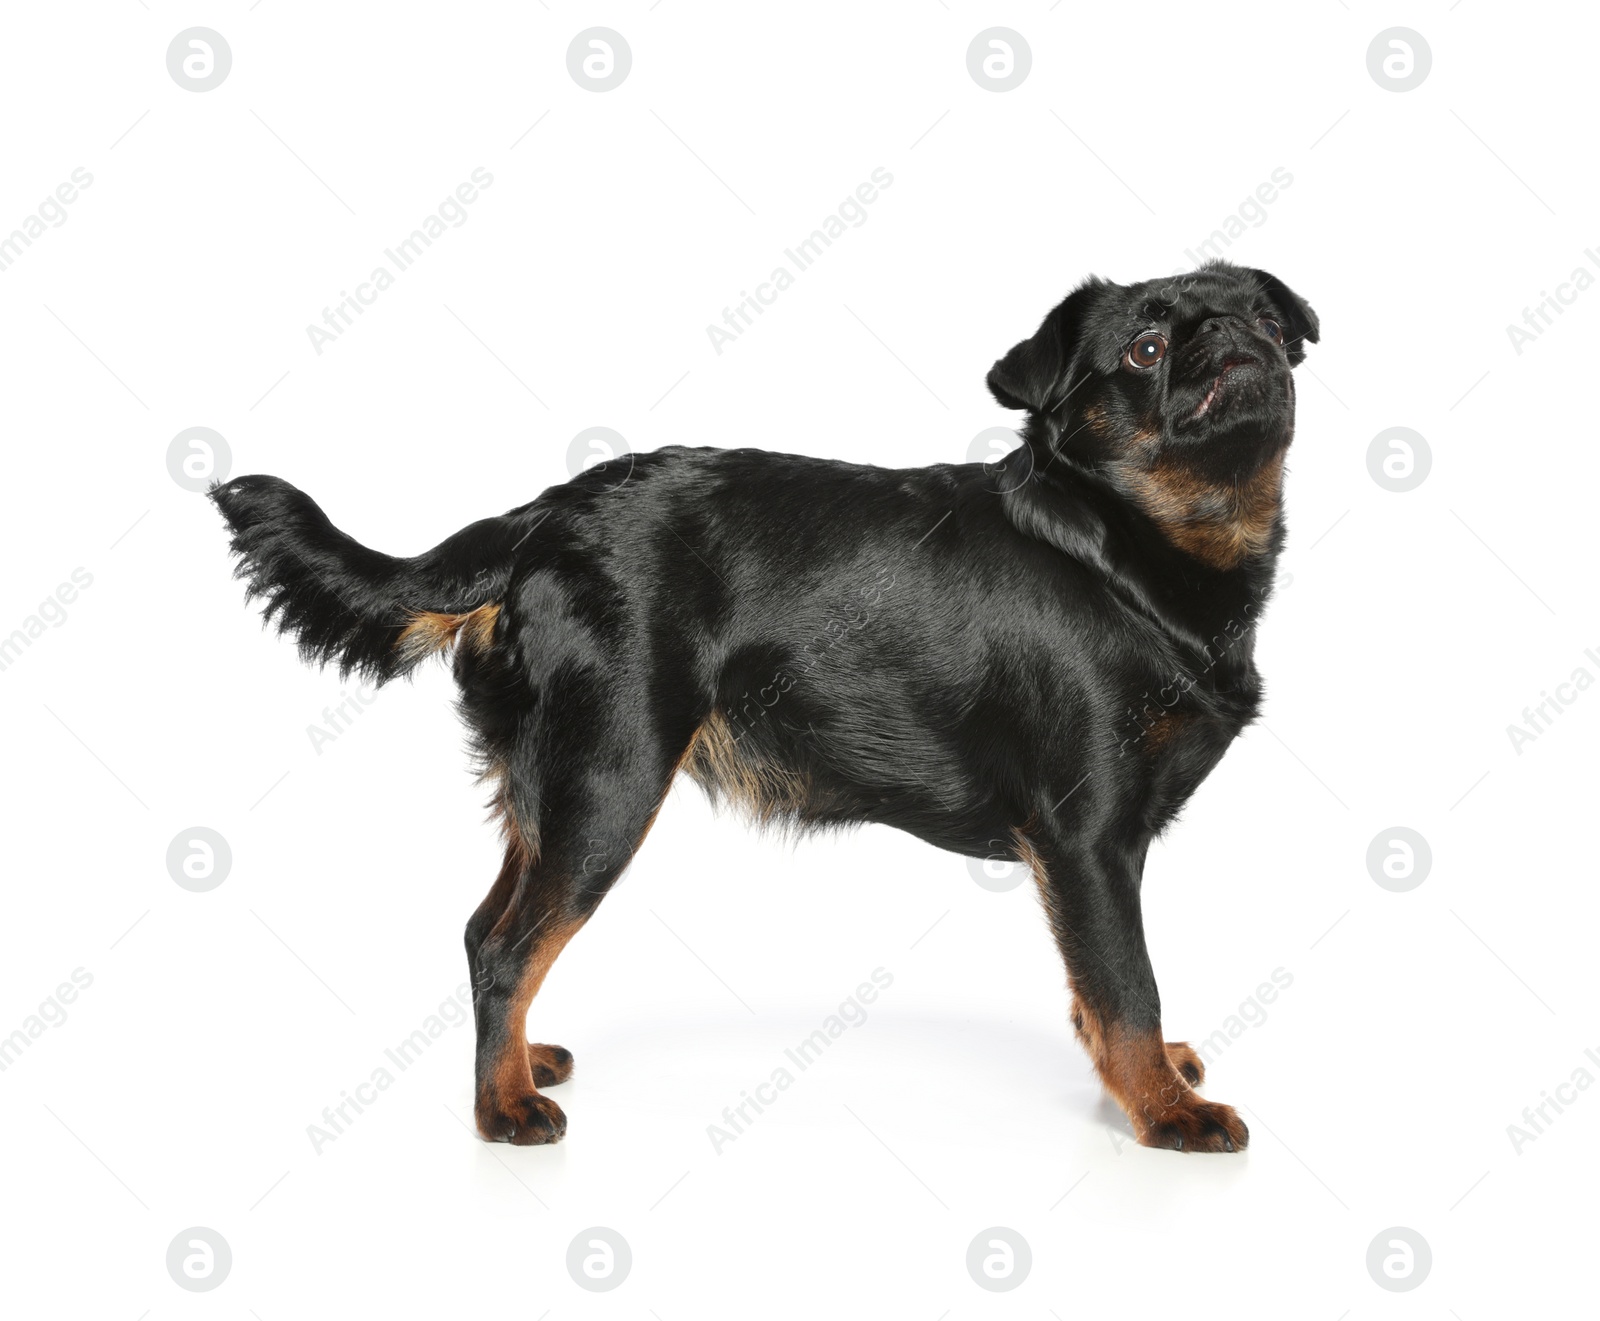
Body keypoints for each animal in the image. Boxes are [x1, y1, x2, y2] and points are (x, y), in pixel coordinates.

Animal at [209, 262, 1312, 1145]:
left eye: (1265, 315)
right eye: (1147, 346)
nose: (1235, 329)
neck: (1129, 548)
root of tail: (538, 522)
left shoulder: (1097, 853)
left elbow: (1098, 989)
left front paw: (1142, 1078)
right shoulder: (1088, 840)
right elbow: (1126, 983)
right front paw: (1163, 1109)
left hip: (553, 788)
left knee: (487, 927)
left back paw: (519, 1064)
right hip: (608, 781)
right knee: (508, 946)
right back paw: (502, 1108)